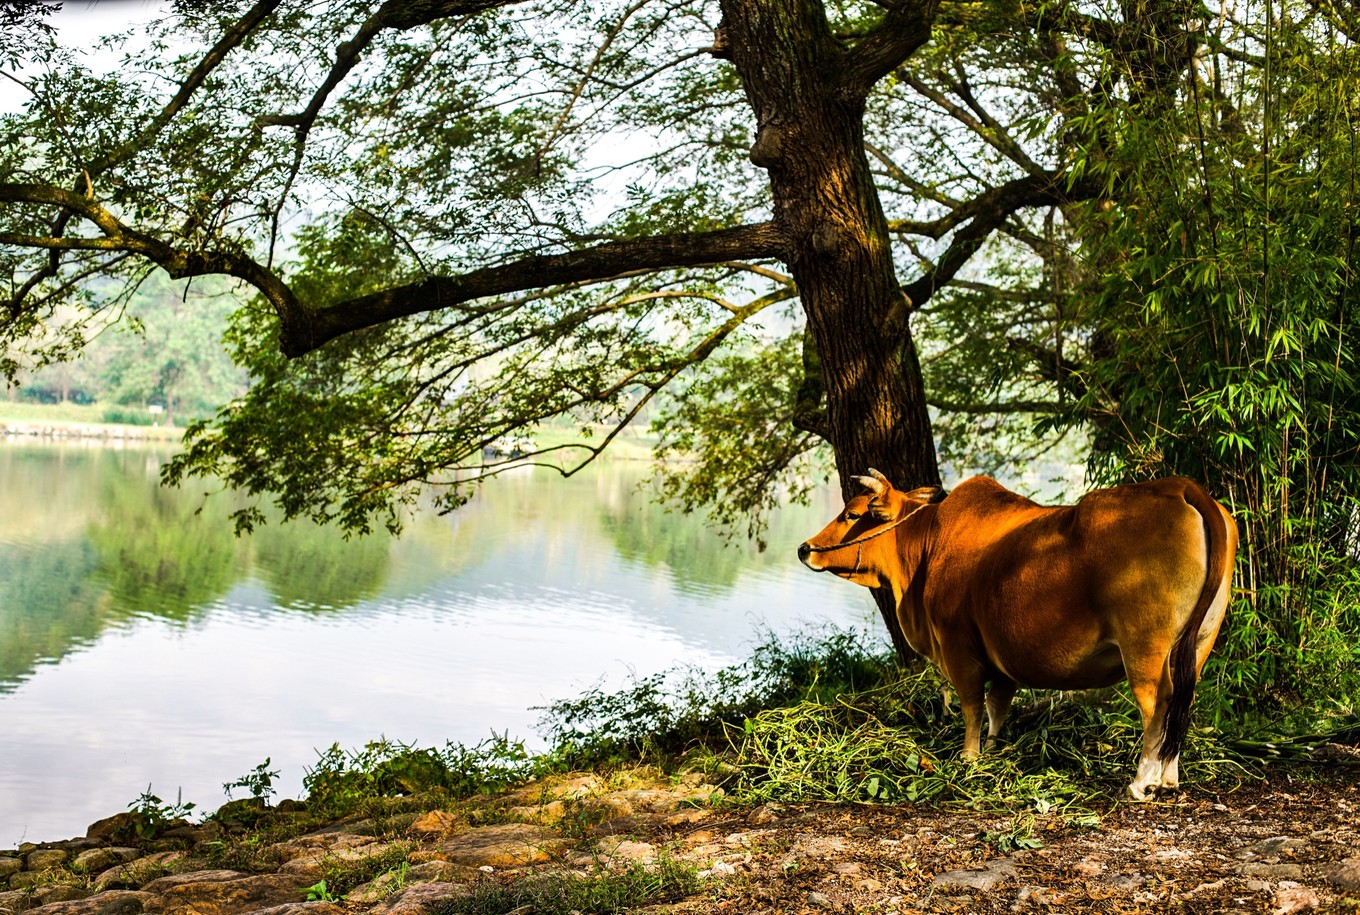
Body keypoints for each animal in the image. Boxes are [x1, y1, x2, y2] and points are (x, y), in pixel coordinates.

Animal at [794, 470, 1240, 799]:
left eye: (853, 514)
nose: (805, 548)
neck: (926, 548)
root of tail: (1180, 486)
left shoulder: (958, 649)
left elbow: (973, 706)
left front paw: (969, 757)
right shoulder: (1000, 657)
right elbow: (997, 705)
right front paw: (993, 748)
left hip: (1144, 649)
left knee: (1158, 705)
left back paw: (1143, 780)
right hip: (1199, 643)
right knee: (1184, 699)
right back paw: (1170, 776)